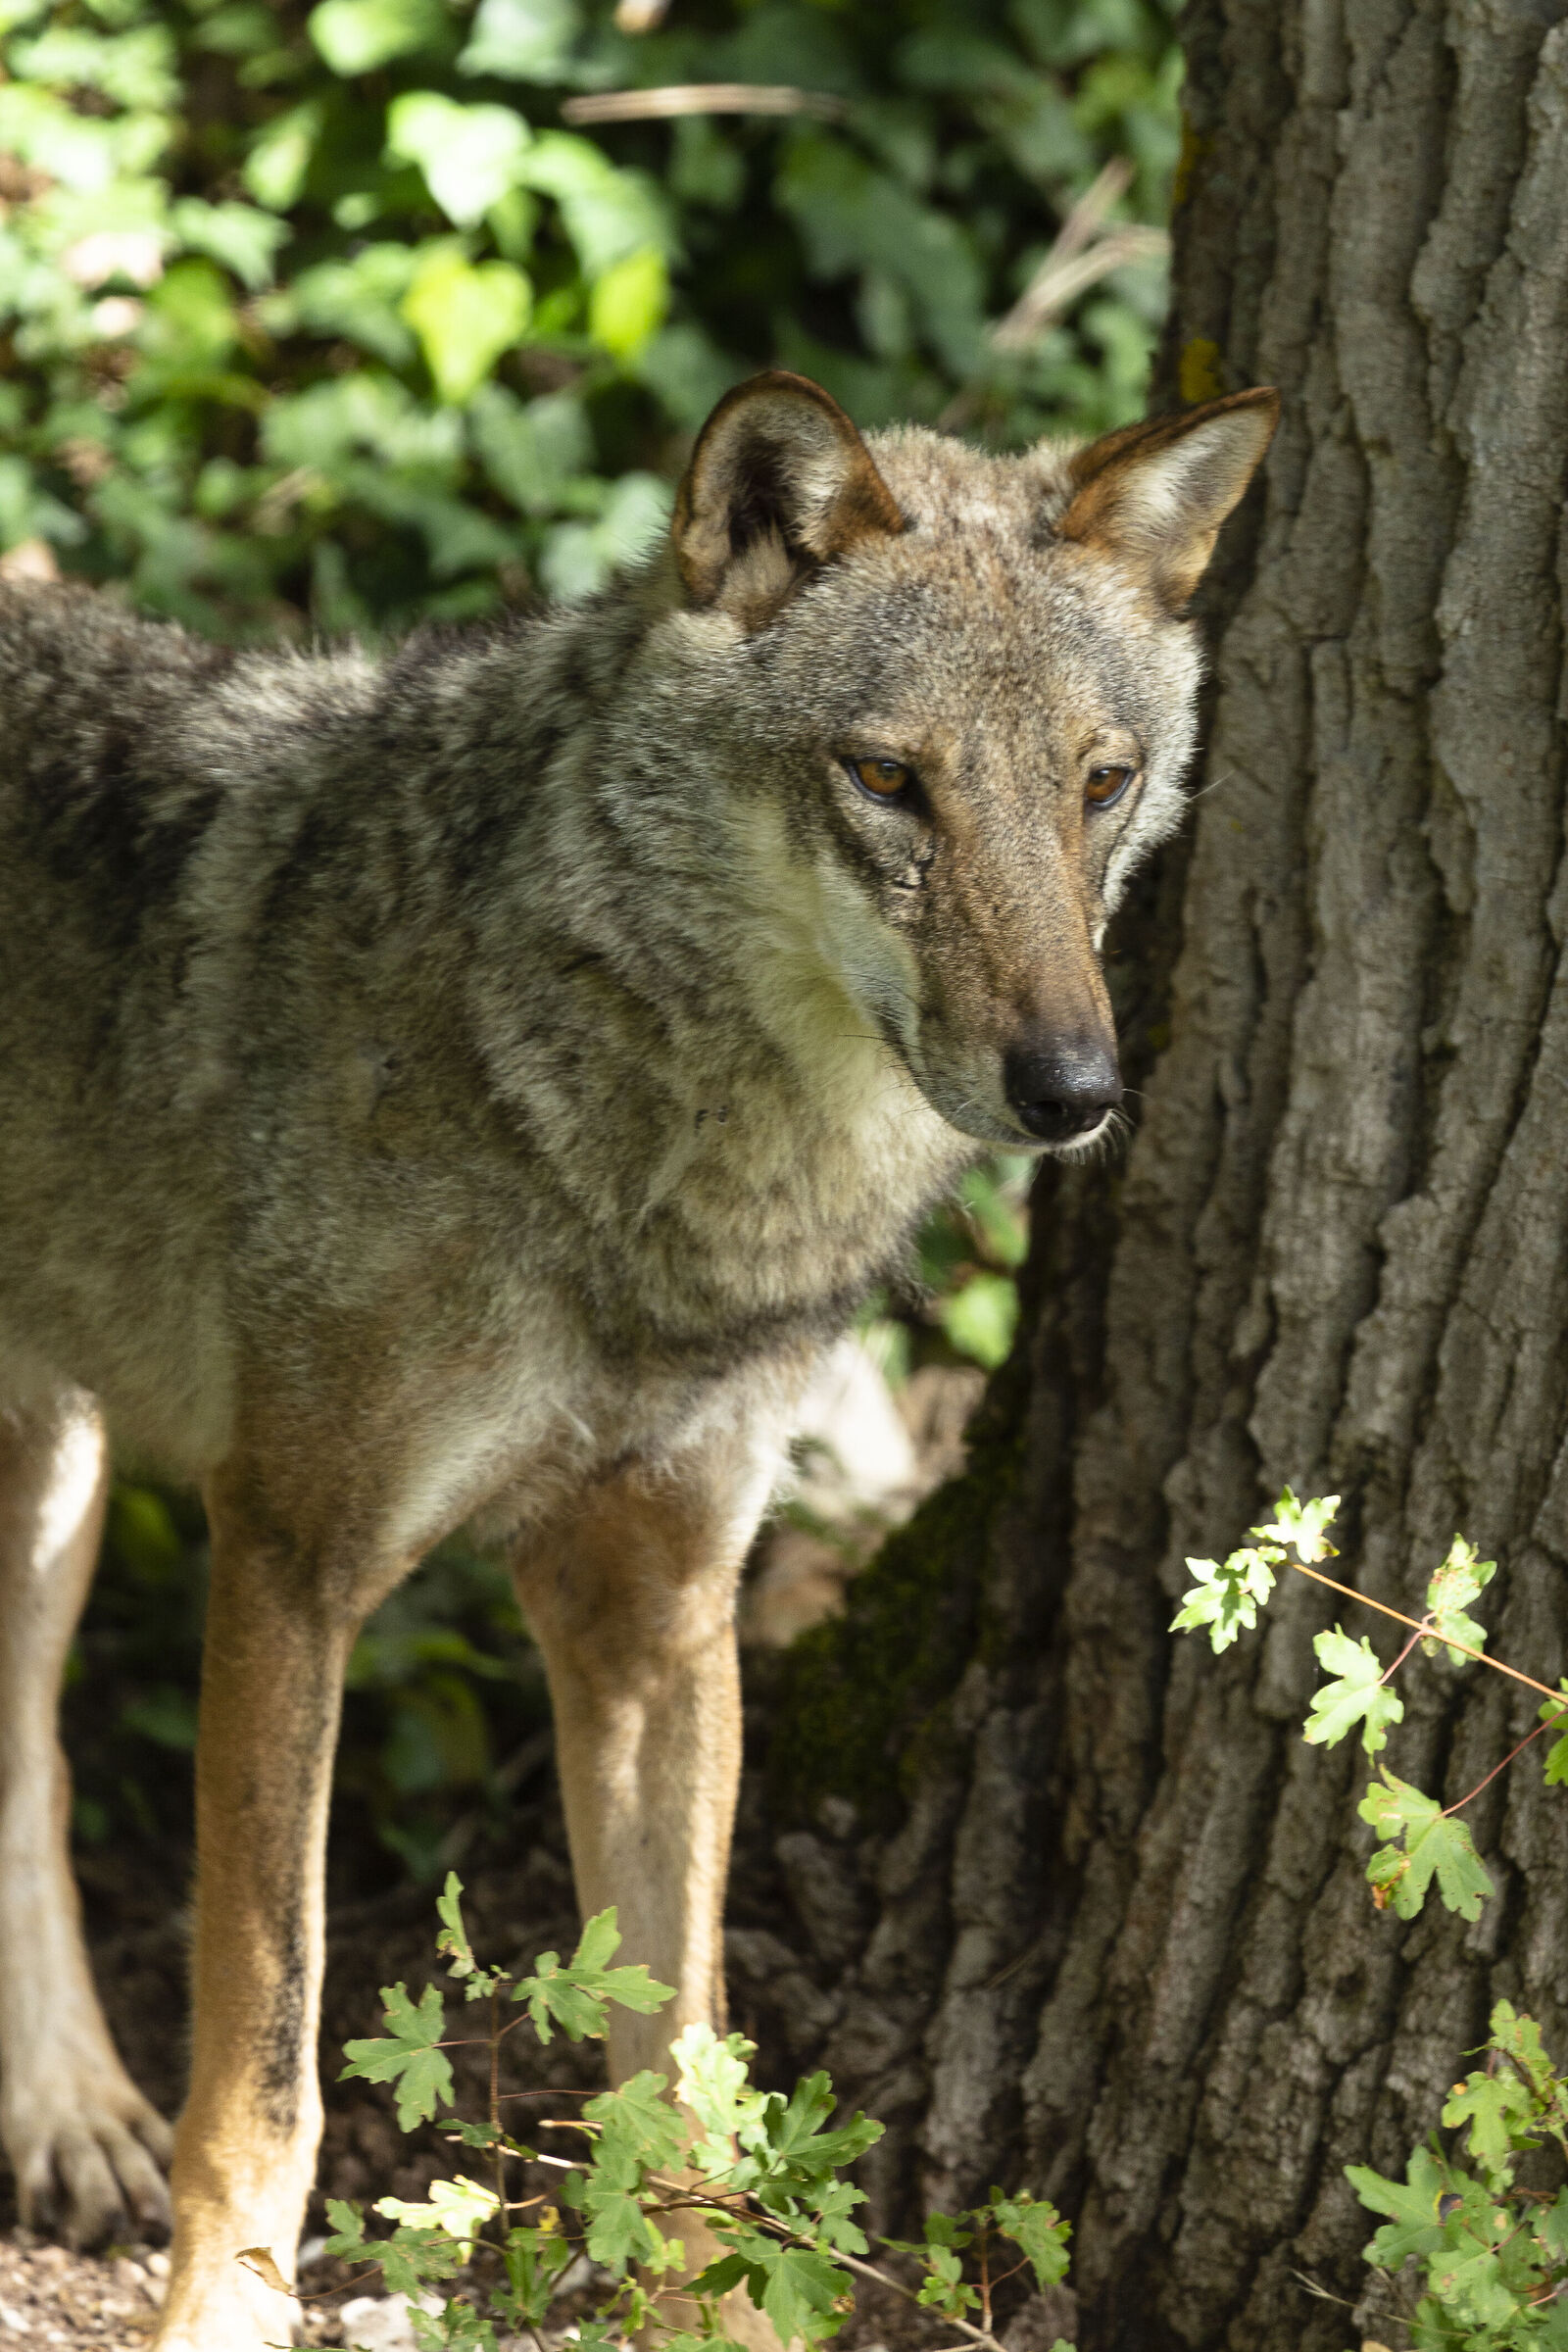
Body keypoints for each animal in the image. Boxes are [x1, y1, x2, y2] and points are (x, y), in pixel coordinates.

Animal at [0, 369, 1274, 2348]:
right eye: (888, 779)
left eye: (1099, 783)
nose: (1075, 1091)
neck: (645, 1177)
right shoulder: (291, 1557)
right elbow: (268, 2075)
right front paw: (218, 2312)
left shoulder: (658, 1599)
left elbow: (683, 2088)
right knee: (34, 1756)